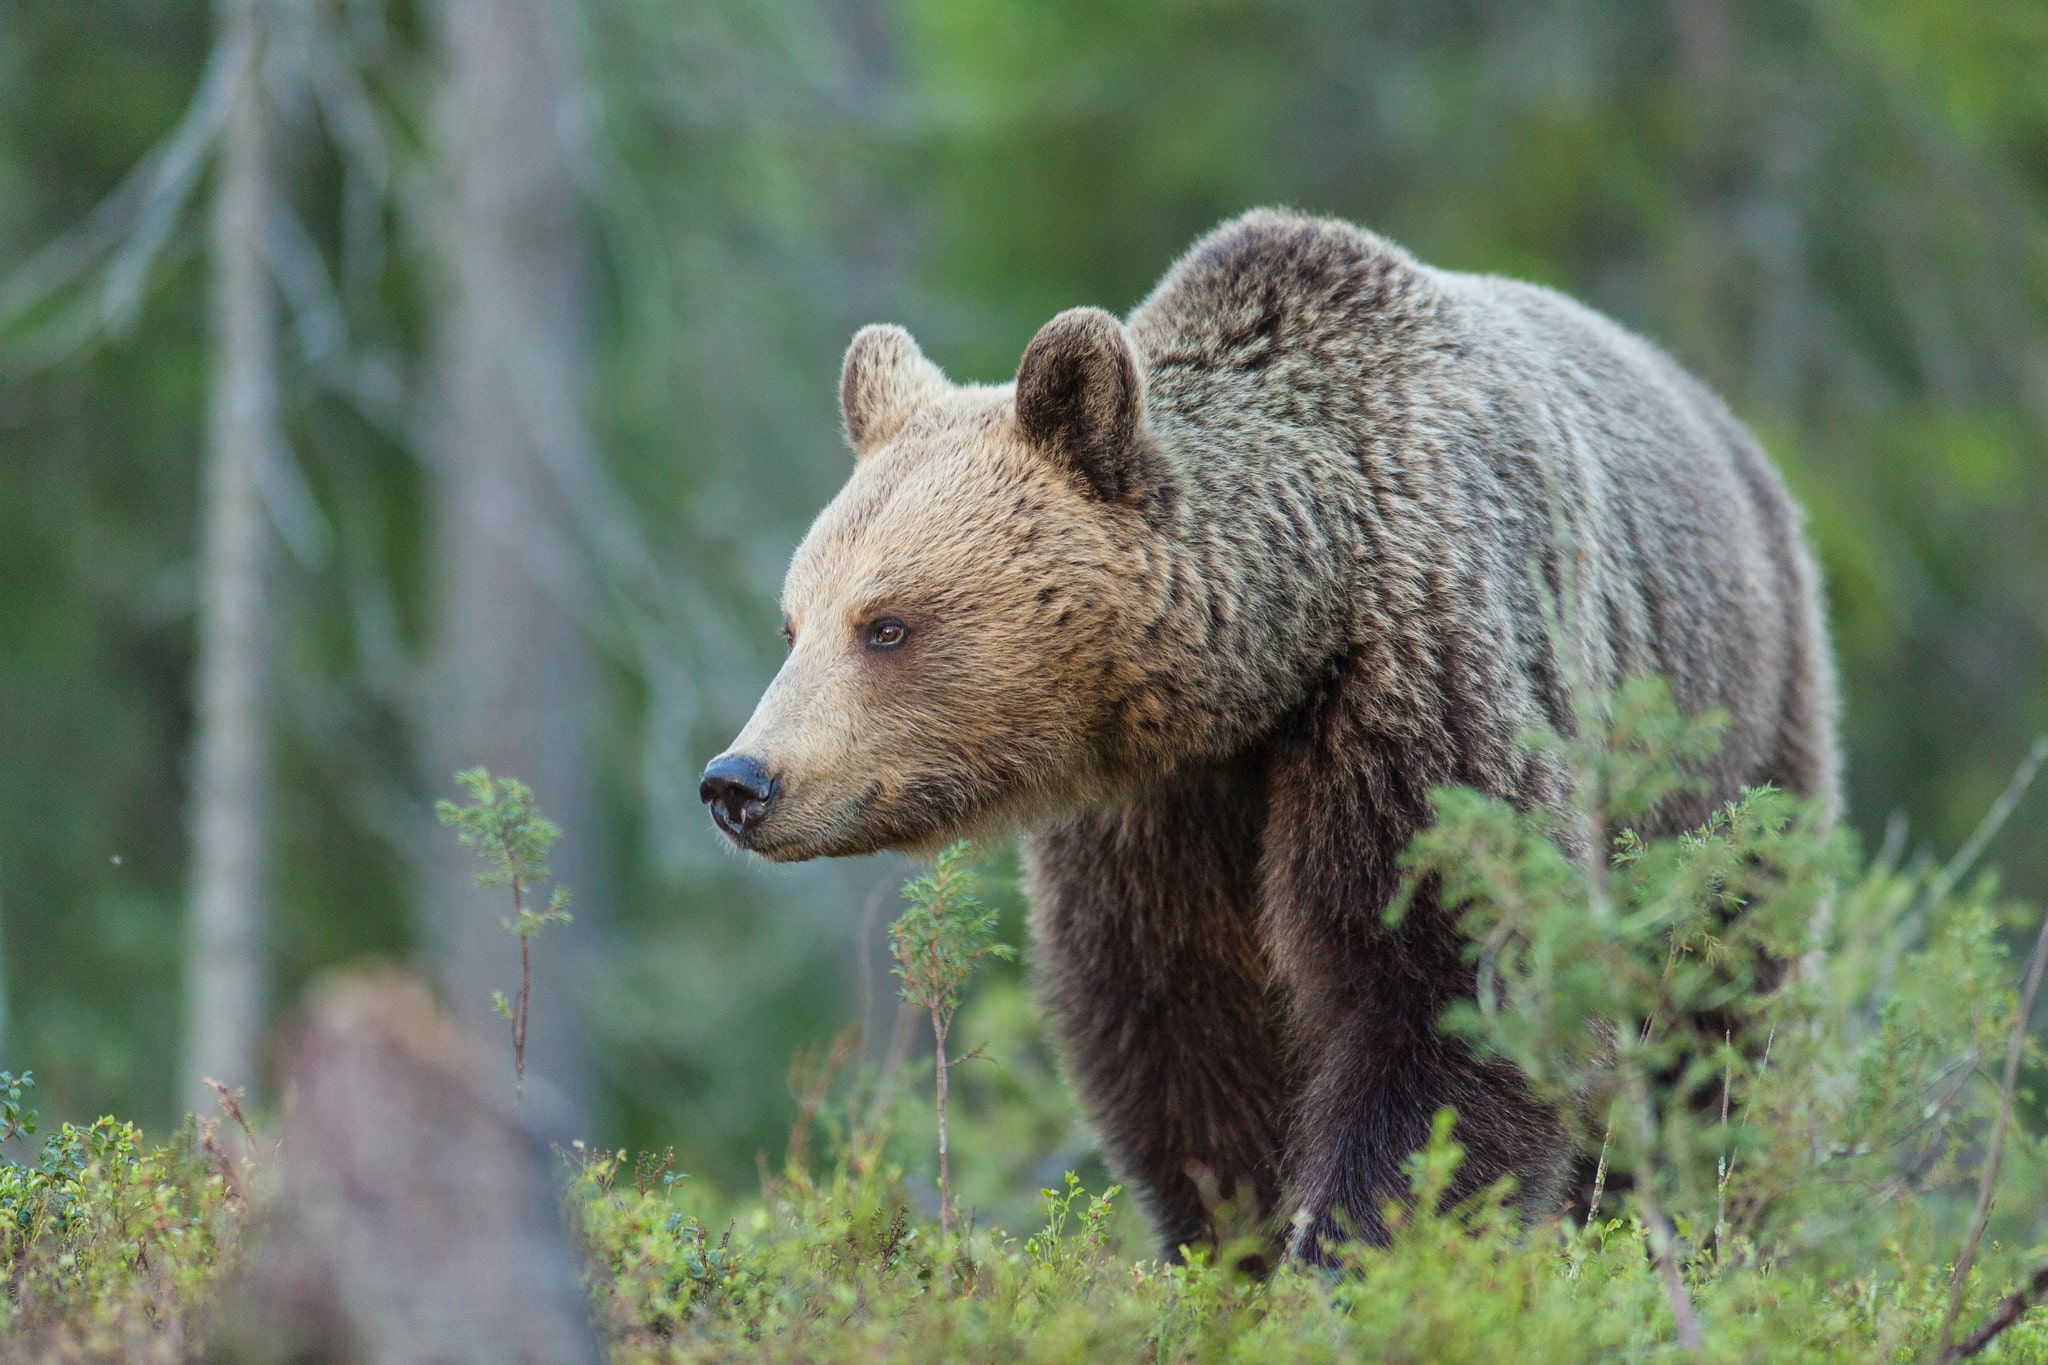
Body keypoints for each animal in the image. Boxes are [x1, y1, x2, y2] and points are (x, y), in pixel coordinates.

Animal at [700, 208, 1843, 1268]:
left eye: (887, 624)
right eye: (793, 623)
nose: (738, 781)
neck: (1278, 650)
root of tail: (1723, 422)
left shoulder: (1417, 692)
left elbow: (1447, 983)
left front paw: (1353, 1252)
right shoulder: (1156, 814)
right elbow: (1178, 1027)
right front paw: (1232, 1243)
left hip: (1733, 735)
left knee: (1714, 1010)